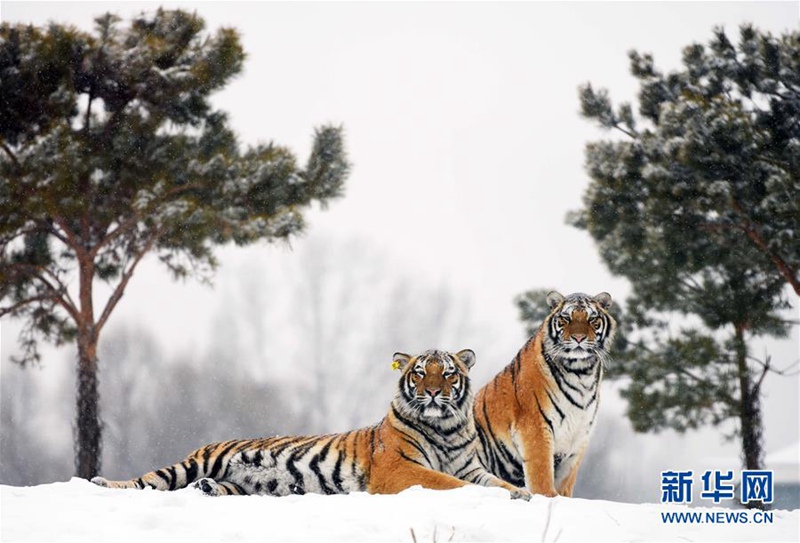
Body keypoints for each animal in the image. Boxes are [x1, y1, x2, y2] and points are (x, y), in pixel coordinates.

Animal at [92, 349, 531, 500]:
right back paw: (102, 483)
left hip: (239, 485)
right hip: (194, 462)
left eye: (449, 373)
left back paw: (207, 490)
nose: (435, 392)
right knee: (147, 481)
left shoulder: (471, 467)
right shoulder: (399, 468)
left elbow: (498, 482)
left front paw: (524, 495)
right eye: (421, 372)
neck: (445, 428)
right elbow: (446, 482)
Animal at [473, 291, 616, 498]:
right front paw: (548, 497)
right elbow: (541, 474)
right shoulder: (535, 426)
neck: (581, 372)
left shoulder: (579, 437)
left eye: (592, 319)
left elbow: (565, 482)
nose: (579, 338)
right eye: (566, 318)